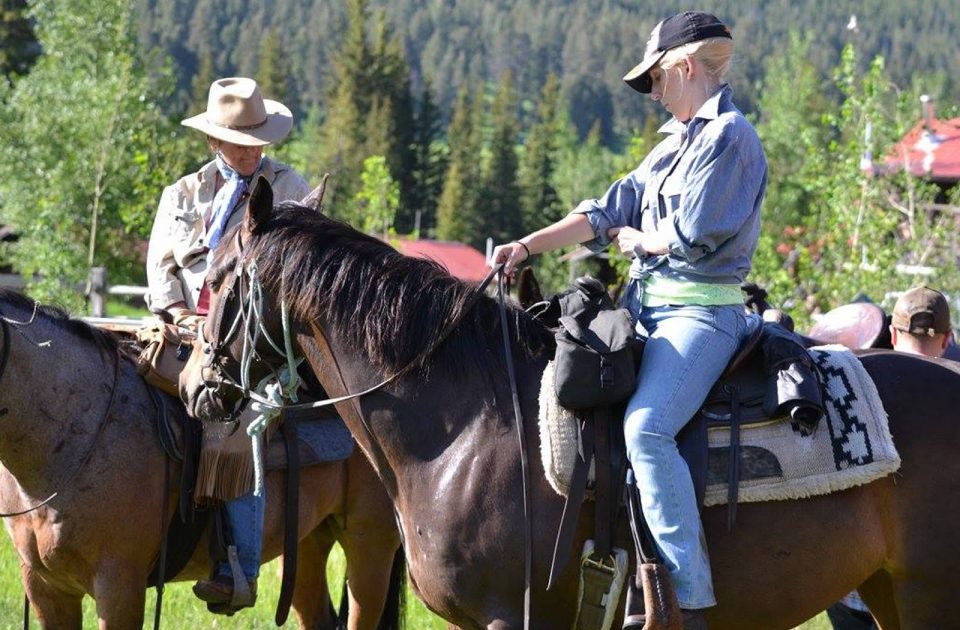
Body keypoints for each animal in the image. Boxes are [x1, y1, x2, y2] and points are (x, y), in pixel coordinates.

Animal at [182, 180, 960, 628]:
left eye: (216, 277)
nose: (194, 384)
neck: (466, 426)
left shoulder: (508, 617)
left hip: (928, 591)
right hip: (889, 590)